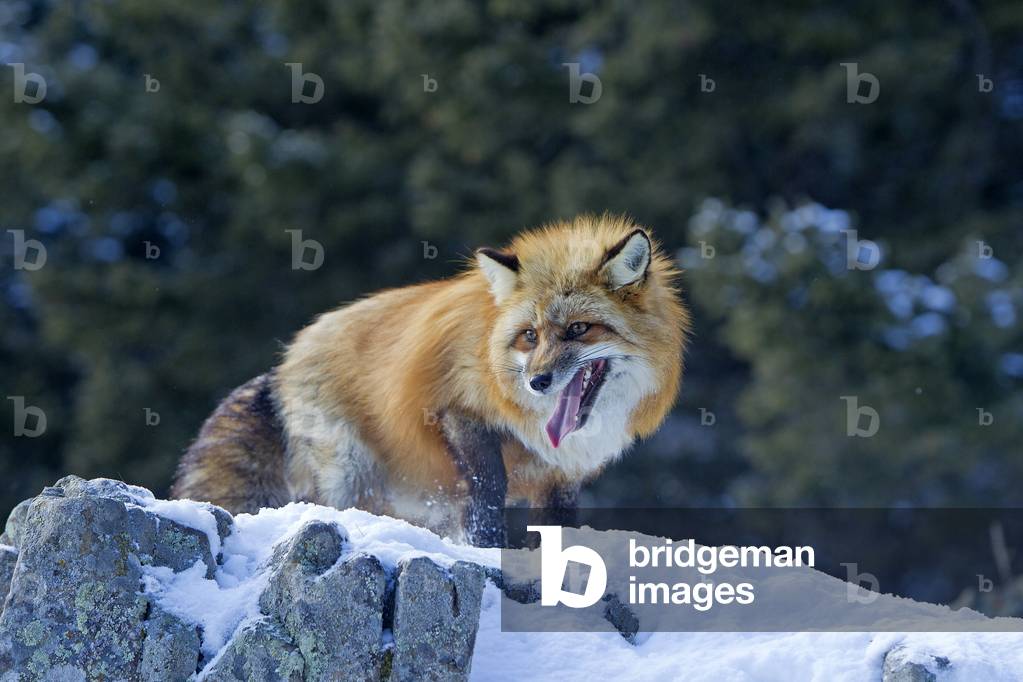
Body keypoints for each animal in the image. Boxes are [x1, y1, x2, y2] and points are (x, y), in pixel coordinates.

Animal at [171, 214, 689, 546]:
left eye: (579, 329)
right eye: (530, 335)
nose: (538, 382)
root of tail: (285, 361)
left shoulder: (561, 473)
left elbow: (556, 526)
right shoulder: (456, 413)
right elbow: (487, 491)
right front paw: (486, 550)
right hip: (346, 473)